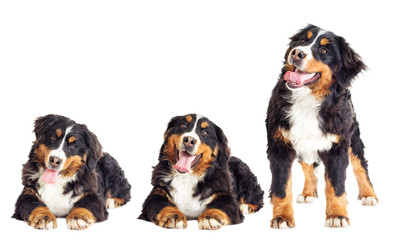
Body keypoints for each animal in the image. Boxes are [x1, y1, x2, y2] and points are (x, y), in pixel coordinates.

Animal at [266, 24, 378, 229]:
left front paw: (337, 215)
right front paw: (282, 217)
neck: (307, 100)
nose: (296, 53)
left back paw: (369, 195)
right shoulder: (280, 145)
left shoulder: (338, 146)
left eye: (324, 50)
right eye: (303, 41)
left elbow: (336, 186)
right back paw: (308, 193)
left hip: (353, 138)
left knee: (361, 166)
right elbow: (281, 187)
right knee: (309, 168)